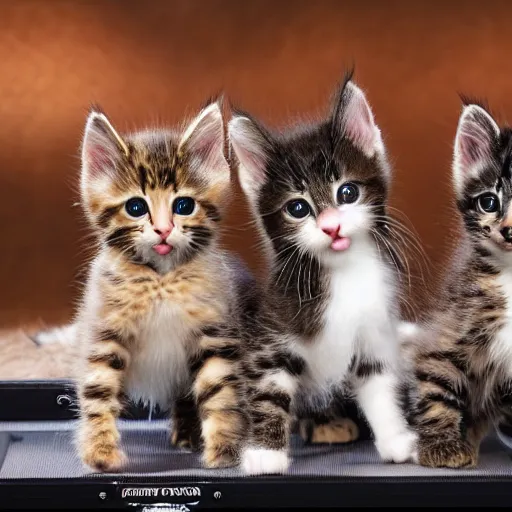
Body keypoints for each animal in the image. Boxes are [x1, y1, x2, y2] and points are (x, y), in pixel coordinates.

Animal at [58, 102, 250, 474]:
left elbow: (220, 391)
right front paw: (100, 452)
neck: (161, 281)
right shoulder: (103, 330)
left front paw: (224, 449)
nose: (163, 230)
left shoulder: (214, 330)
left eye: (183, 206)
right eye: (136, 207)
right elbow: (98, 391)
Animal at [228, 74, 416, 474]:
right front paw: (264, 454)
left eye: (347, 192)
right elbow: (268, 388)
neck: (344, 274)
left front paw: (395, 439)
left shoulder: (373, 329)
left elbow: (379, 386)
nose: (331, 226)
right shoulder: (271, 330)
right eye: (297, 208)